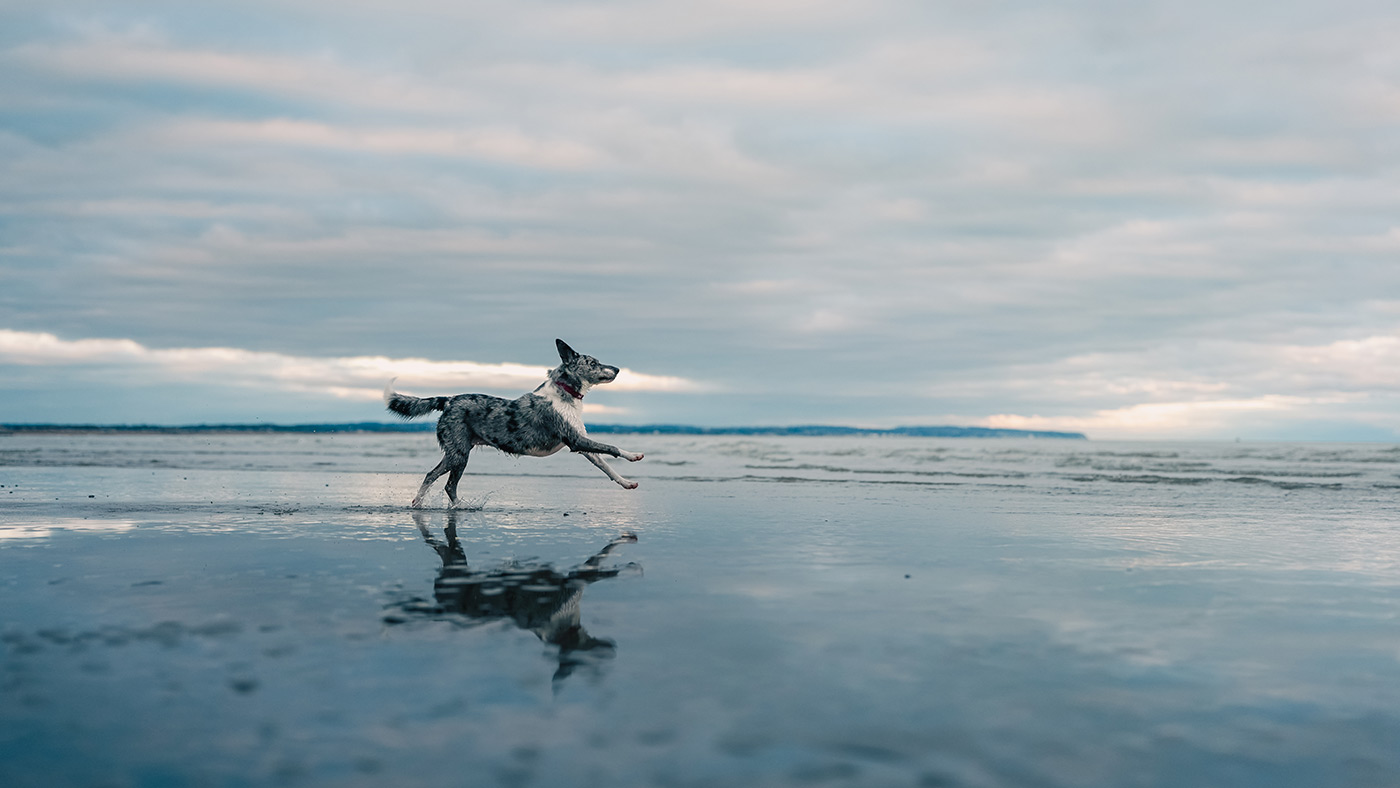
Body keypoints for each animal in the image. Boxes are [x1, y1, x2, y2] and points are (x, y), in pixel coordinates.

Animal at [383, 337, 644, 509]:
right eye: (593, 363)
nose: (618, 369)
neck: (565, 392)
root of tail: (448, 400)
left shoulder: (582, 445)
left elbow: (606, 466)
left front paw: (626, 483)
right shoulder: (576, 440)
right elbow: (612, 447)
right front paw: (634, 455)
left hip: (458, 453)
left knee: (438, 479)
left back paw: (434, 504)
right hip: (458, 453)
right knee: (442, 481)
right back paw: (449, 505)